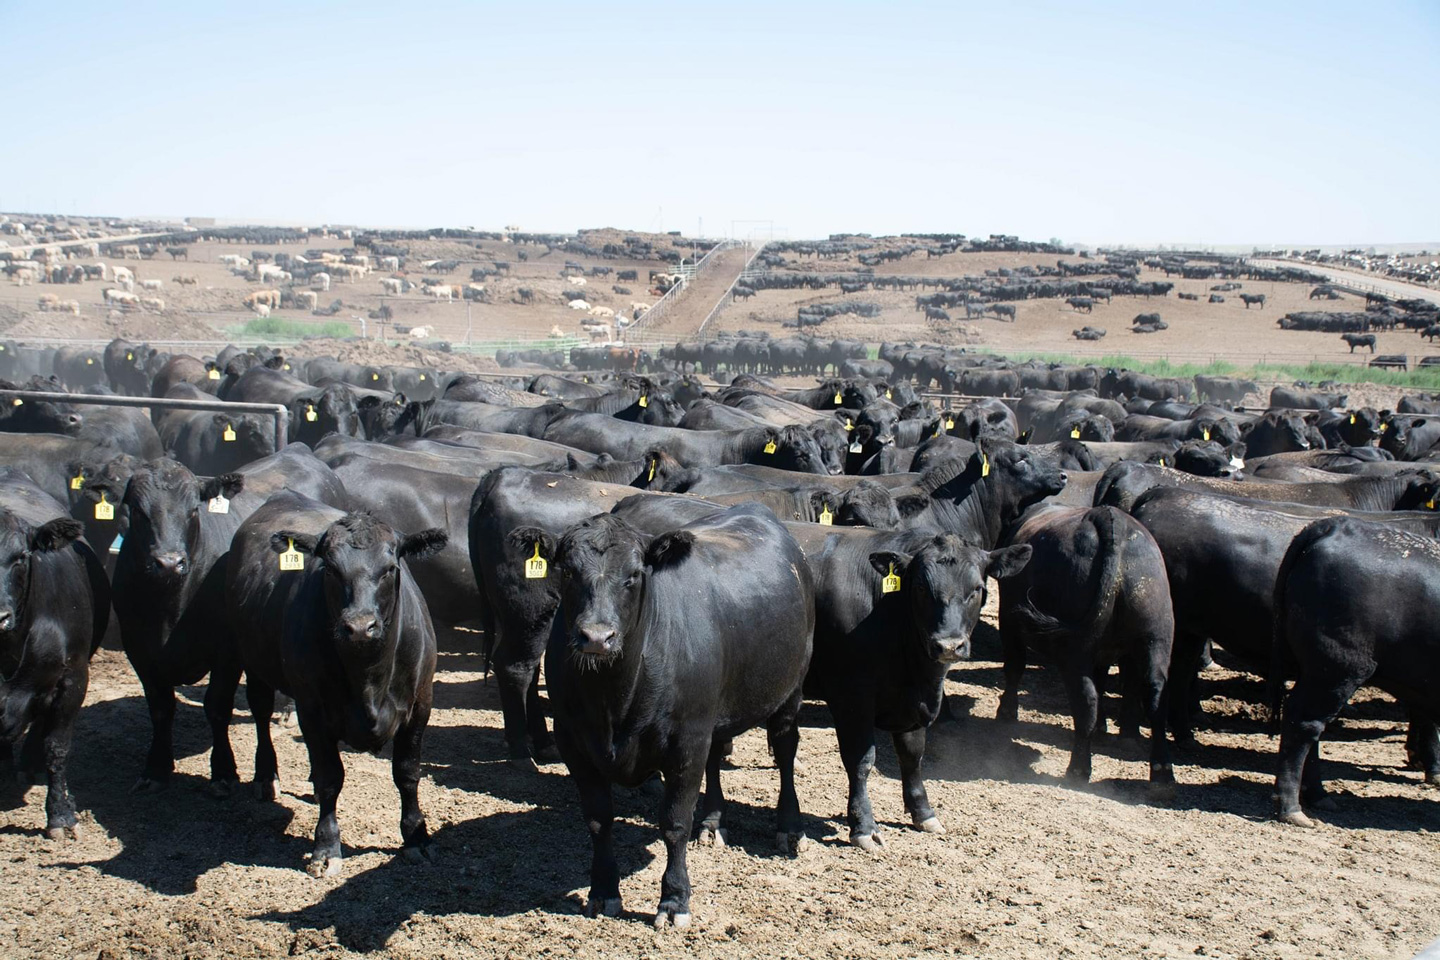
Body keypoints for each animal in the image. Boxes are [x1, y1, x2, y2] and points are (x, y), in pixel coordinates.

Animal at [224, 495, 443, 880]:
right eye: (329, 569)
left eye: (390, 568)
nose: (359, 626)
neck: (369, 678)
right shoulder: (311, 709)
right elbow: (331, 777)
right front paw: (326, 847)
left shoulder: (420, 704)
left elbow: (407, 773)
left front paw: (417, 837)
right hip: (253, 660)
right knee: (261, 712)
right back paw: (265, 776)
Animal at [541, 506, 817, 926]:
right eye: (569, 572)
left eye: (634, 576)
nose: (596, 637)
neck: (614, 701)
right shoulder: (572, 740)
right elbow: (598, 820)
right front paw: (603, 891)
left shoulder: (686, 740)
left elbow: (674, 823)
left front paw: (674, 900)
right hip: (717, 711)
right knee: (717, 758)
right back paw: (713, 822)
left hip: (790, 689)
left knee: (785, 750)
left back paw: (790, 828)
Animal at [1272, 518, 1440, 829]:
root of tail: (1333, 525)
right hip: (1337, 669)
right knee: (1303, 724)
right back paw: (1291, 807)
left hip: (1318, 672)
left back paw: (1317, 796)